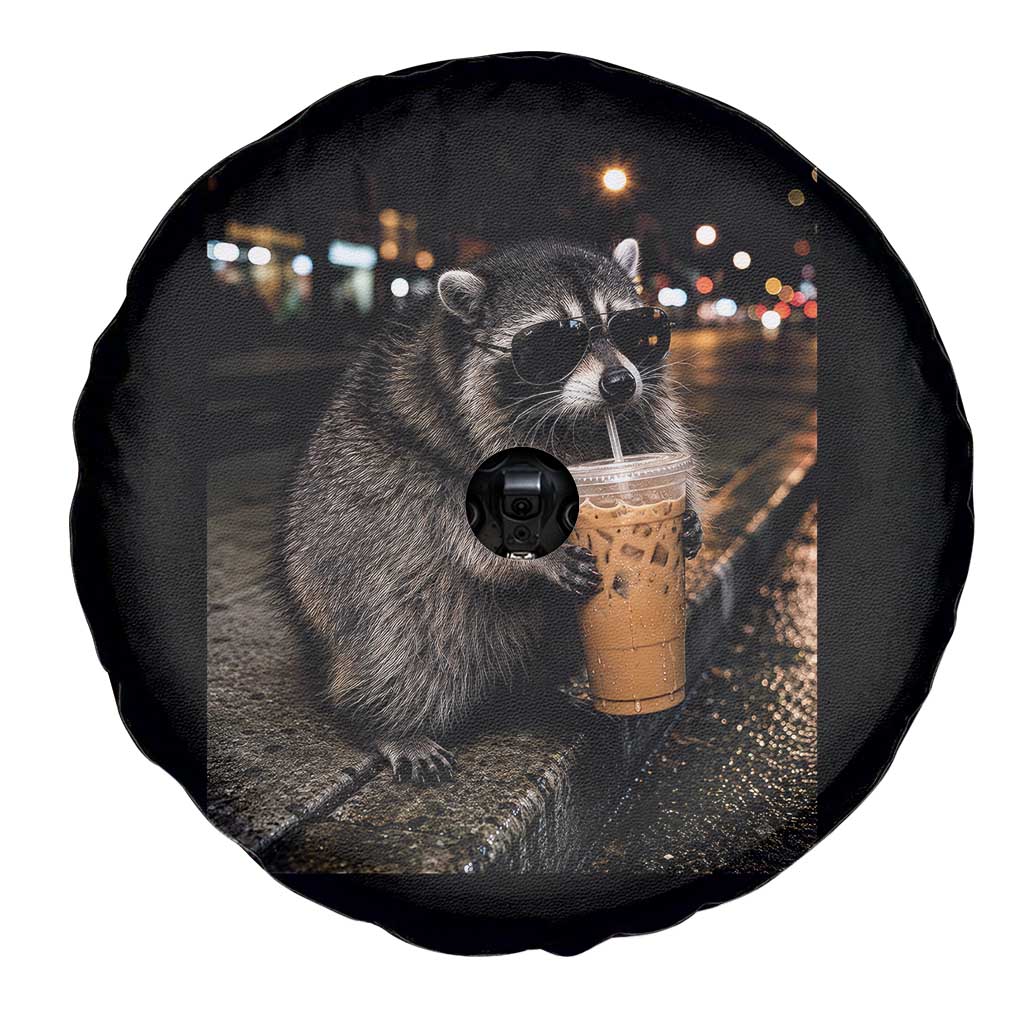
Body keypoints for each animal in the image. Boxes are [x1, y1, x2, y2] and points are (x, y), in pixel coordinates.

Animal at [283, 238, 703, 782]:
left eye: (632, 330)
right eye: (553, 342)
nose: (618, 383)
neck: (578, 422)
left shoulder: (636, 418)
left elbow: (656, 441)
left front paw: (688, 517)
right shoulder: (436, 436)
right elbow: (446, 515)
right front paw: (539, 554)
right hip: (341, 573)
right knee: (409, 614)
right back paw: (389, 719)